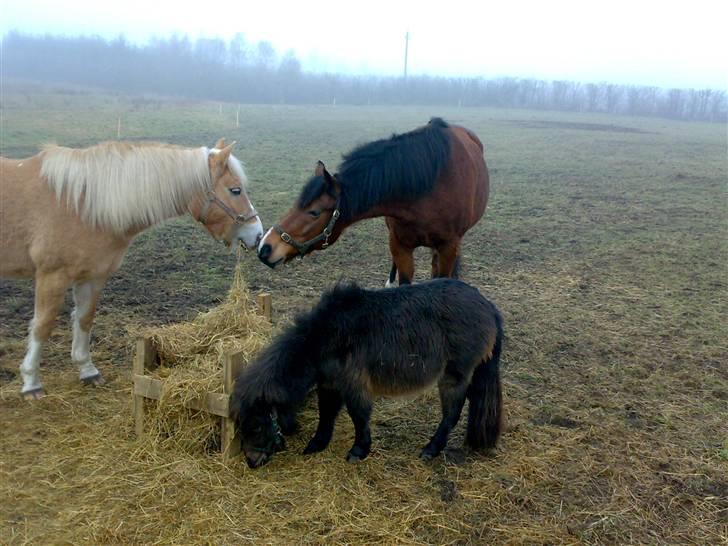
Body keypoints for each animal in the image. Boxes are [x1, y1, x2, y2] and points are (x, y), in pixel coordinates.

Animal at [1, 138, 264, 398]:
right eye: (235, 190)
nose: (258, 234)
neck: (81, 205)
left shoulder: (92, 277)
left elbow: (85, 319)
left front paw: (88, 370)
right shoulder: (52, 276)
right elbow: (42, 326)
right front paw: (31, 382)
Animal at [230, 278, 504, 466]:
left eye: (256, 427)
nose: (252, 462)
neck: (324, 337)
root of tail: (488, 306)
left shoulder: (354, 385)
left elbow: (358, 416)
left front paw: (358, 451)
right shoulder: (329, 384)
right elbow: (326, 414)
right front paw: (317, 444)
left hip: (453, 377)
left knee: (451, 415)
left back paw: (430, 450)